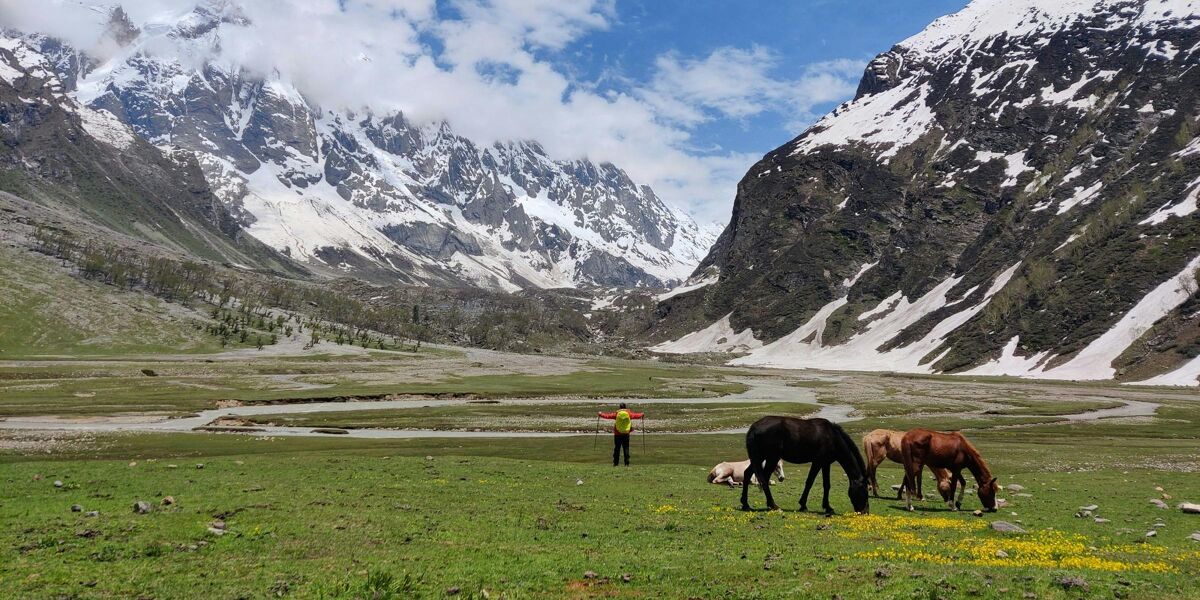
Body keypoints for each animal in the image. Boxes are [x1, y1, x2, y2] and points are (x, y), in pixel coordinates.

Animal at [734, 415, 868, 513]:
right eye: (864, 490)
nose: (865, 512)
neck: (832, 437)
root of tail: (754, 427)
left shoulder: (826, 463)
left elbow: (827, 485)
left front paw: (827, 507)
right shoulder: (817, 462)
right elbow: (809, 482)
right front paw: (803, 505)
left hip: (760, 458)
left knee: (749, 474)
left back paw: (746, 504)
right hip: (771, 458)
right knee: (764, 479)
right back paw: (773, 505)